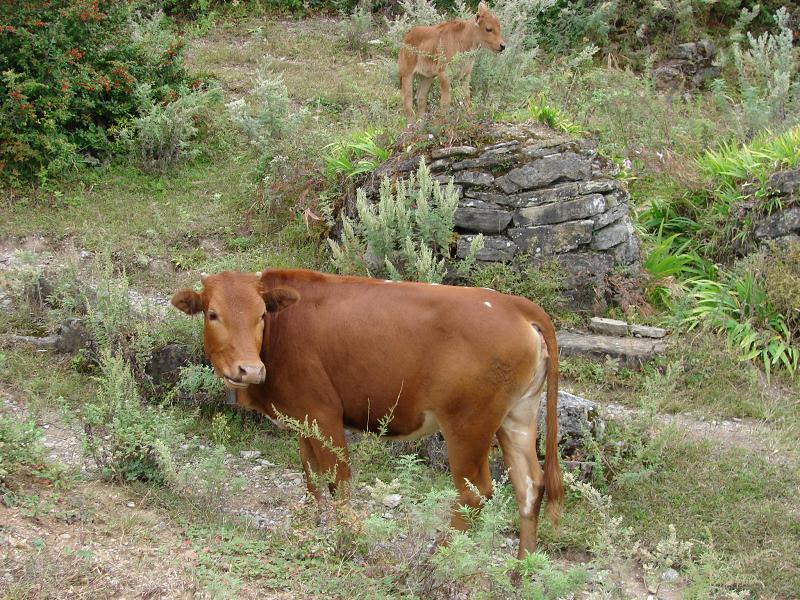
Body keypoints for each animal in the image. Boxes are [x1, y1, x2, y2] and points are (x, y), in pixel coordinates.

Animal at [172, 268, 564, 556]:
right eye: (213, 314)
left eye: (261, 315)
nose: (249, 370)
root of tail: (513, 304)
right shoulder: (300, 417)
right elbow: (310, 476)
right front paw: (309, 525)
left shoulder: (323, 413)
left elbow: (338, 481)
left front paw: (349, 539)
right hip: (517, 416)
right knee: (530, 485)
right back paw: (522, 570)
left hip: (468, 425)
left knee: (475, 492)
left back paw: (434, 558)